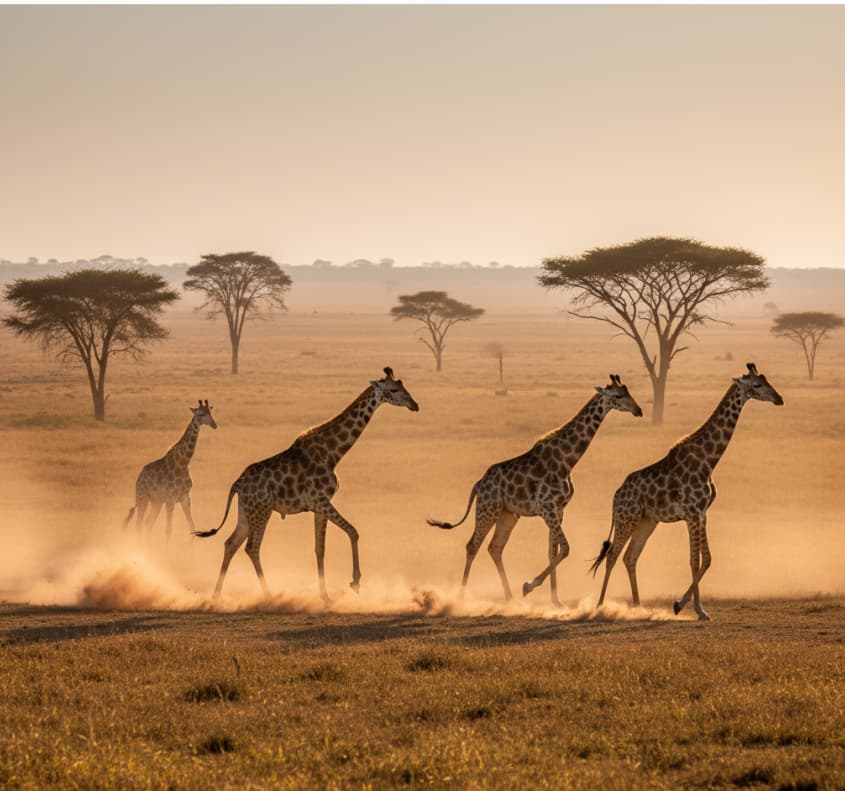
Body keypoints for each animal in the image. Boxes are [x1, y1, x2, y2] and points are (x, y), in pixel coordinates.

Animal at [124, 399, 218, 540]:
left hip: (156, 502)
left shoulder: (186, 498)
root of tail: (139, 476)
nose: (214, 425)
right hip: (142, 497)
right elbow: (168, 530)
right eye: (200, 414)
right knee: (139, 524)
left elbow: (192, 528)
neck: (183, 465)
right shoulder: (170, 499)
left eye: (210, 412)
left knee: (148, 523)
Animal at [194, 367, 419, 601]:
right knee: (252, 548)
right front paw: (355, 582)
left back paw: (216, 596)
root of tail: (236, 484)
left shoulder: (319, 506)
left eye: (403, 386)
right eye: (394, 390)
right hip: (262, 511)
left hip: (246, 511)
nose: (415, 405)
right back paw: (269, 595)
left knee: (231, 543)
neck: (332, 454)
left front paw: (325, 596)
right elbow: (353, 531)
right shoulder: (321, 501)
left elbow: (320, 548)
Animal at [428, 375, 643, 605]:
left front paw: (555, 600)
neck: (567, 462)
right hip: (488, 509)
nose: (638, 410)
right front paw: (529, 586)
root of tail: (478, 484)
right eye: (618, 396)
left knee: (495, 547)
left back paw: (510, 597)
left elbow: (553, 551)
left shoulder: (558, 510)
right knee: (472, 545)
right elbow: (565, 548)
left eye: (629, 393)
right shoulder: (546, 508)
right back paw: (460, 598)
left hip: (507, 514)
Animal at [590, 363, 784, 620]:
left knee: (630, 557)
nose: (779, 399)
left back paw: (638, 607)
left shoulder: (702, 513)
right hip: (626, 519)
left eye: (766, 380)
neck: (708, 461)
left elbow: (707, 559)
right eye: (757, 385)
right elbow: (694, 560)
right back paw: (600, 606)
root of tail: (615, 496)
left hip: (646, 522)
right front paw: (699, 611)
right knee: (612, 556)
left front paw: (679, 605)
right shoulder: (692, 514)